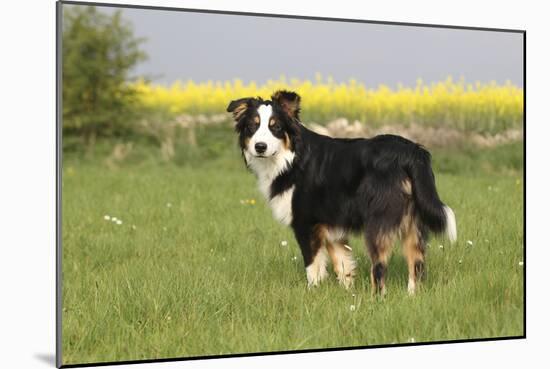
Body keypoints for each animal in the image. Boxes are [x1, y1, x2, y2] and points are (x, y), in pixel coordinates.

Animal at [226, 90, 460, 294]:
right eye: (252, 126)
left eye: (275, 127)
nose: (260, 146)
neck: (291, 158)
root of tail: (412, 152)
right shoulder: (331, 225)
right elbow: (343, 265)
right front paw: (347, 293)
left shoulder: (306, 223)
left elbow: (313, 266)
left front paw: (313, 293)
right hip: (414, 220)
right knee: (416, 263)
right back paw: (411, 297)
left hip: (378, 220)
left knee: (380, 267)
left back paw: (376, 299)